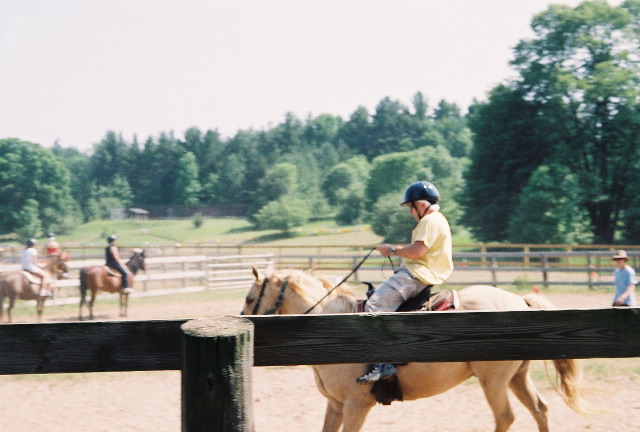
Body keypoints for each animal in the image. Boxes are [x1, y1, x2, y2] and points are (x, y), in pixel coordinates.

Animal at [242, 268, 588, 432]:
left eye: (249, 298)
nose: (244, 318)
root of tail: (519, 300)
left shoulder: (356, 405)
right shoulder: (336, 405)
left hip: (493, 380)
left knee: (505, 417)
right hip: (517, 376)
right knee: (540, 409)